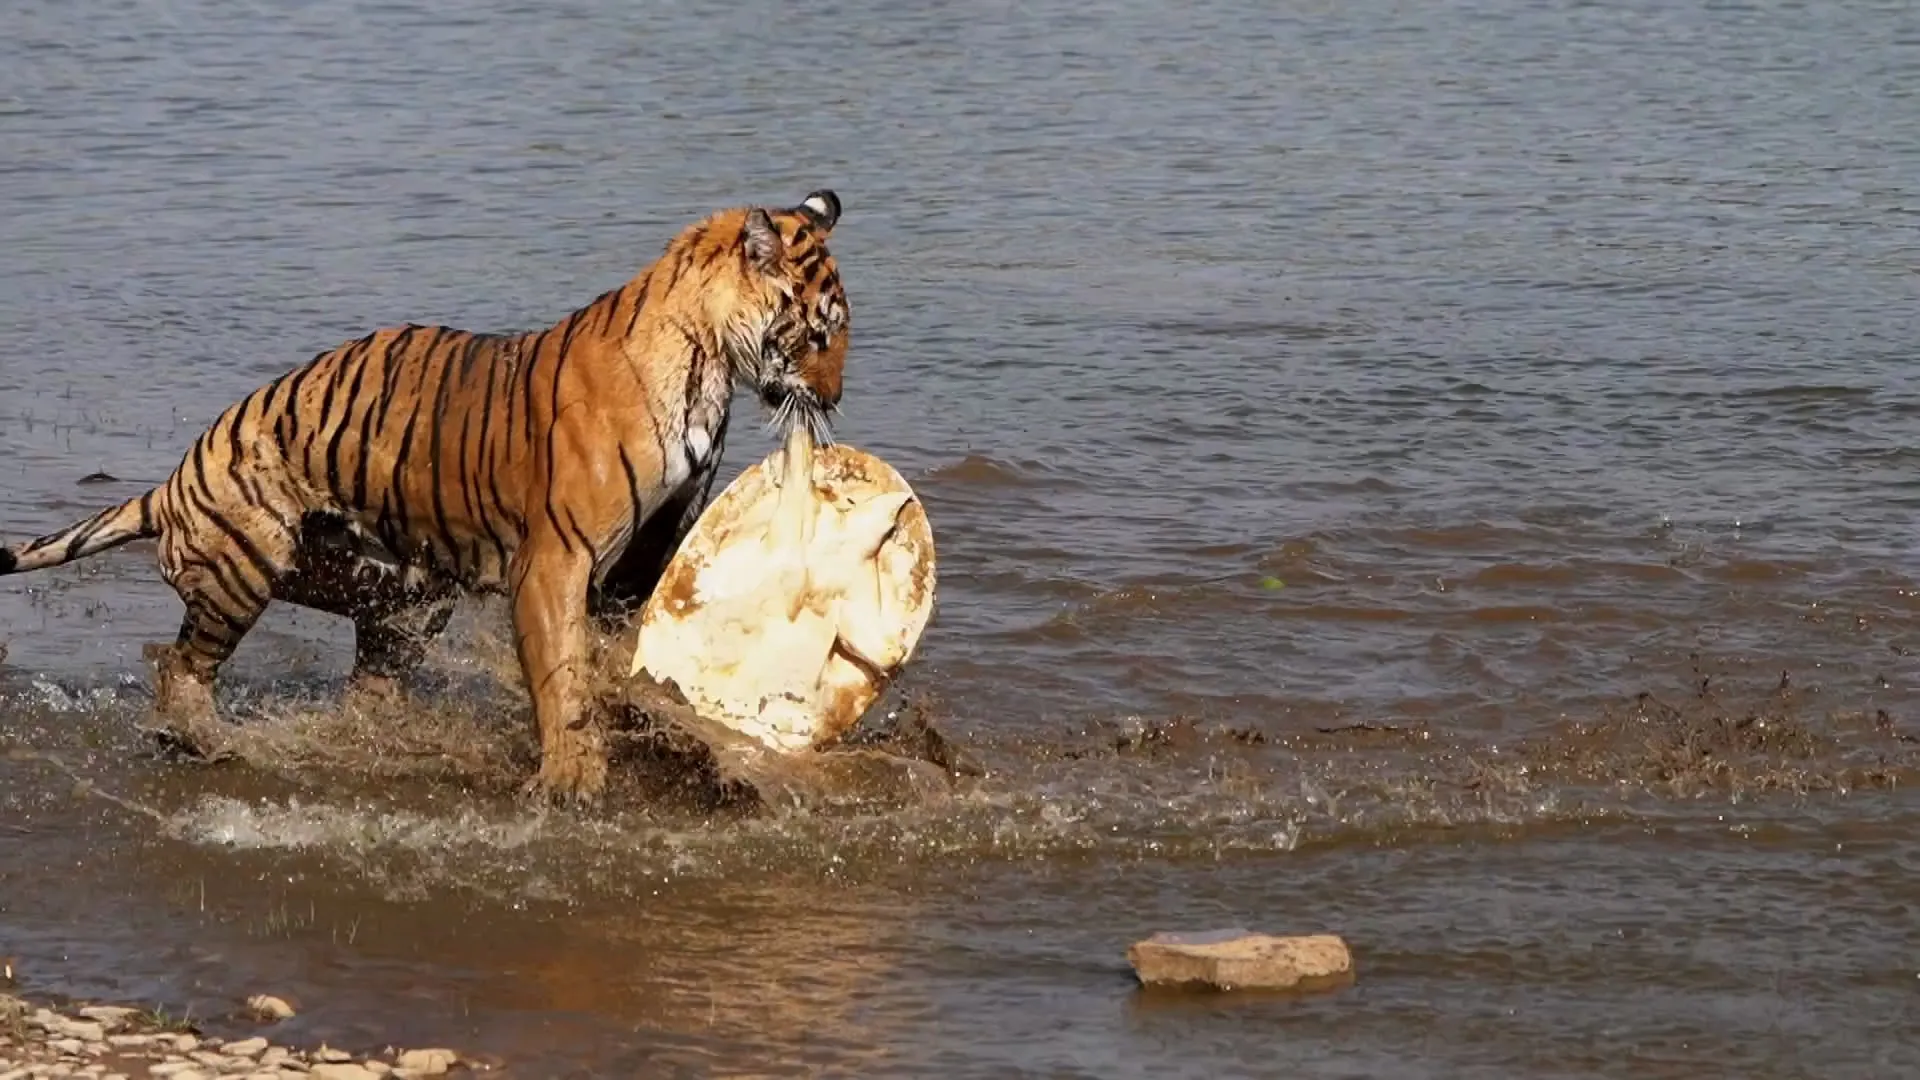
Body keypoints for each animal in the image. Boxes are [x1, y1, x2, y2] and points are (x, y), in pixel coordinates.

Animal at [0, 189, 851, 805]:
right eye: (818, 334)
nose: (837, 398)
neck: (710, 361)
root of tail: (171, 483)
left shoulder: (636, 566)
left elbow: (614, 666)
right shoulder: (556, 558)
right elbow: (563, 676)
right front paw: (572, 781)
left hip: (399, 598)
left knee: (362, 691)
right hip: (245, 567)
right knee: (178, 665)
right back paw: (207, 742)